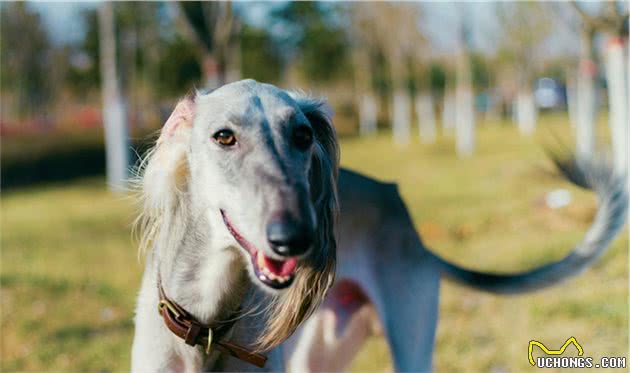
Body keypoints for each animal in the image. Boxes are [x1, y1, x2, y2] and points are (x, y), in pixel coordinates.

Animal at [131, 77, 628, 370]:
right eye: (224, 136)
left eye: (303, 135)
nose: (298, 239)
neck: (209, 325)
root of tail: (408, 221)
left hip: (409, 340)